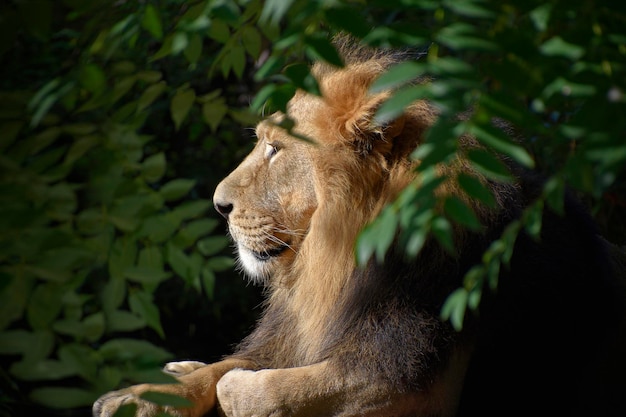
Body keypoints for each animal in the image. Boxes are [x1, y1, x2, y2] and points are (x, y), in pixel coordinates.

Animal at [94, 37, 624, 414]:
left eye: (275, 149)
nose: (218, 205)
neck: (338, 260)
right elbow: (226, 366)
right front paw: (136, 397)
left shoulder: (409, 380)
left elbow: (259, 388)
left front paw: (235, 388)